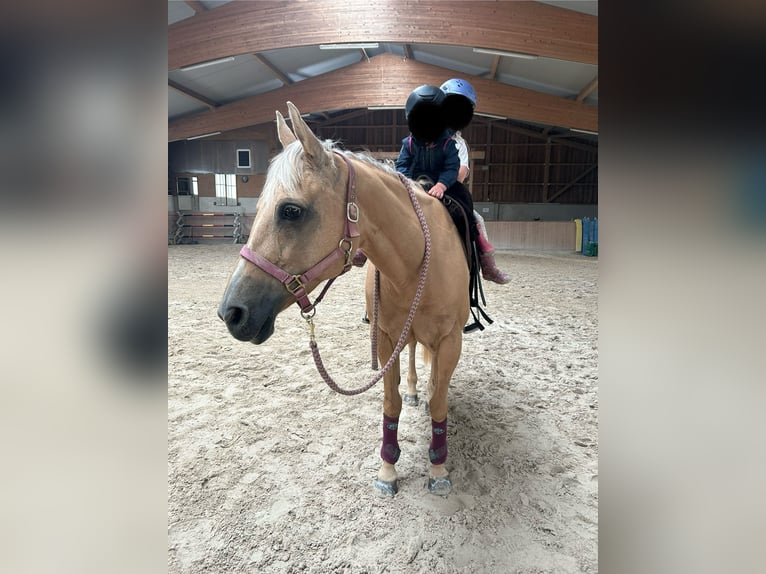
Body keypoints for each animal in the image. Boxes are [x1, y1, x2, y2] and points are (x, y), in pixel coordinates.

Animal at [218, 102, 469, 496]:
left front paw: (438, 469)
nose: (231, 312)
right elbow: (392, 400)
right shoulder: (385, 337)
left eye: (290, 210)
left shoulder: (449, 342)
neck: (416, 264)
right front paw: (388, 469)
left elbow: (440, 402)